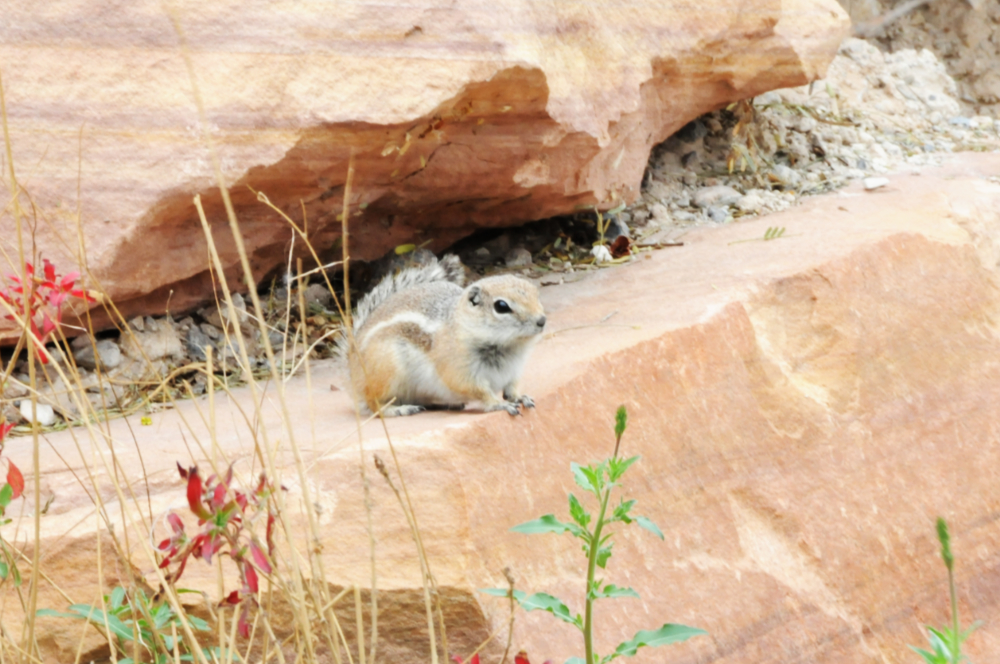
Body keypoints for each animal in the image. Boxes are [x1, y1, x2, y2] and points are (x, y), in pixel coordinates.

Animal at [339, 254, 546, 417]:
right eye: (501, 306)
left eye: (536, 294)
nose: (542, 320)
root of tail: (352, 370)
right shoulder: (459, 370)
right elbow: (479, 392)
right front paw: (499, 404)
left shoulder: (514, 370)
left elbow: (511, 389)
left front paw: (520, 397)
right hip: (386, 372)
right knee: (374, 404)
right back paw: (399, 409)